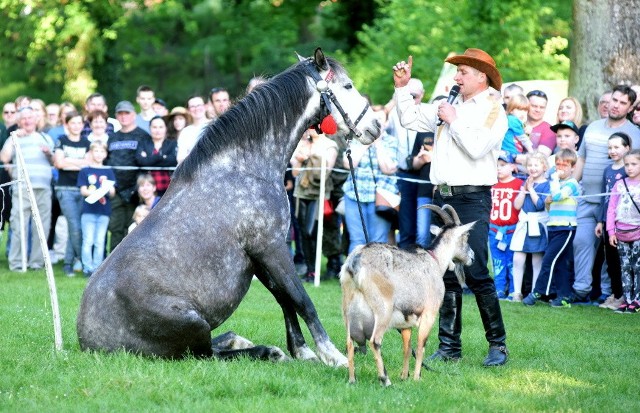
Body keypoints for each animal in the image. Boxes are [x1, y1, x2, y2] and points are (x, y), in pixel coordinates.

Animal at [78, 46, 382, 366]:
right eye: (347, 86)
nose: (375, 126)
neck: (244, 168)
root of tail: (88, 341)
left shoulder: (260, 256)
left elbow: (284, 298)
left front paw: (302, 350)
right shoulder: (270, 247)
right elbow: (301, 299)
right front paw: (331, 355)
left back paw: (241, 340)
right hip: (194, 324)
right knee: (207, 354)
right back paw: (265, 350)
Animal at [340, 204, 476, 384]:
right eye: (466, 236)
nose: (472, 257)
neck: (435, 261)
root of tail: (355, 261)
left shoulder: (405, 323)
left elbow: (407, 347)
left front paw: (405, 376)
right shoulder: (429, 314)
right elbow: (420, 346)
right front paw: (417, 378)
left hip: (347, 310)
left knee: (349, 343)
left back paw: (352, 379)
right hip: (383, 309)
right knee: (375, 341)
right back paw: (385, 379)